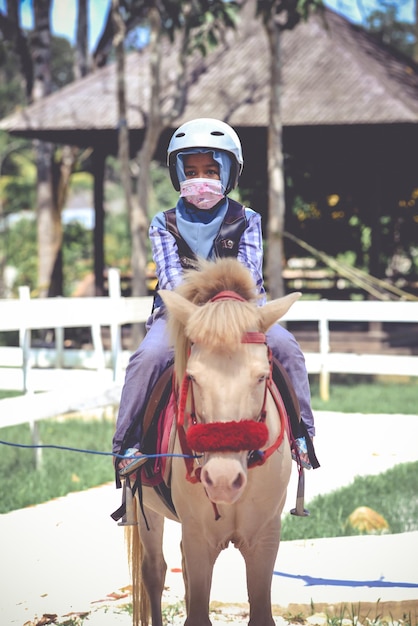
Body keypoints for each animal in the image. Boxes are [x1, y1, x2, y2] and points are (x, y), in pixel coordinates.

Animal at [126, 258, 300, 624]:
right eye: (192, 376)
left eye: (262, 376)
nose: (221, 479)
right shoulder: (199, 538)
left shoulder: (265, 539)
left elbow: (260, 613)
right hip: (146, 510)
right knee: (154, 572)